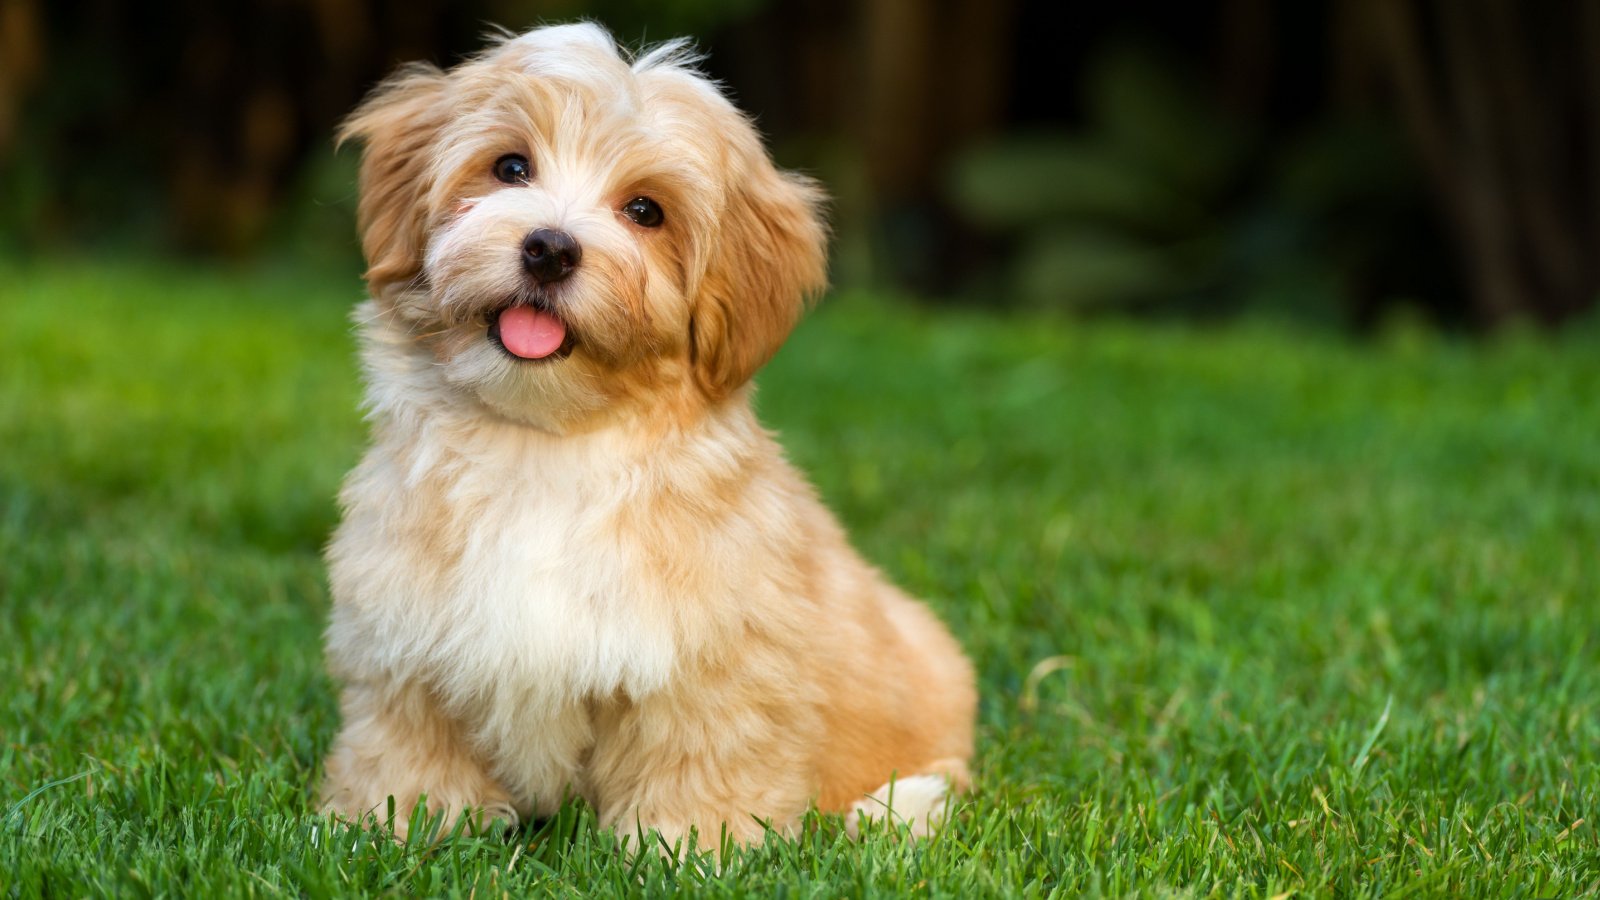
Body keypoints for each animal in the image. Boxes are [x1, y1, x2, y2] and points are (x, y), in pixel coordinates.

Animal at [316, 24, 972, 845]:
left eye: (645, 211)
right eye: (510, 167)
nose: (550, 248)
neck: (546, 442)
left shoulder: (710, 661)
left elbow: (699, 755)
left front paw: (685, 846)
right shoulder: (405, 639)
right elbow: (407, 742)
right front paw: (390, 823)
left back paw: (900, 807)